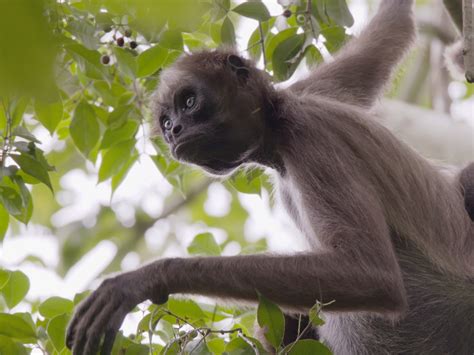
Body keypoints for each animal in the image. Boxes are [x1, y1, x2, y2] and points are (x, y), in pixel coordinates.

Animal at [66, 1, 474, 354]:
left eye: (188, 103)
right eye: (166, 124)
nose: (176, 132)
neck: (281, 122)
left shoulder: (311, 139)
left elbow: (372, 275)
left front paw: (152, 277)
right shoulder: (309, 92)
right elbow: (386, 37)